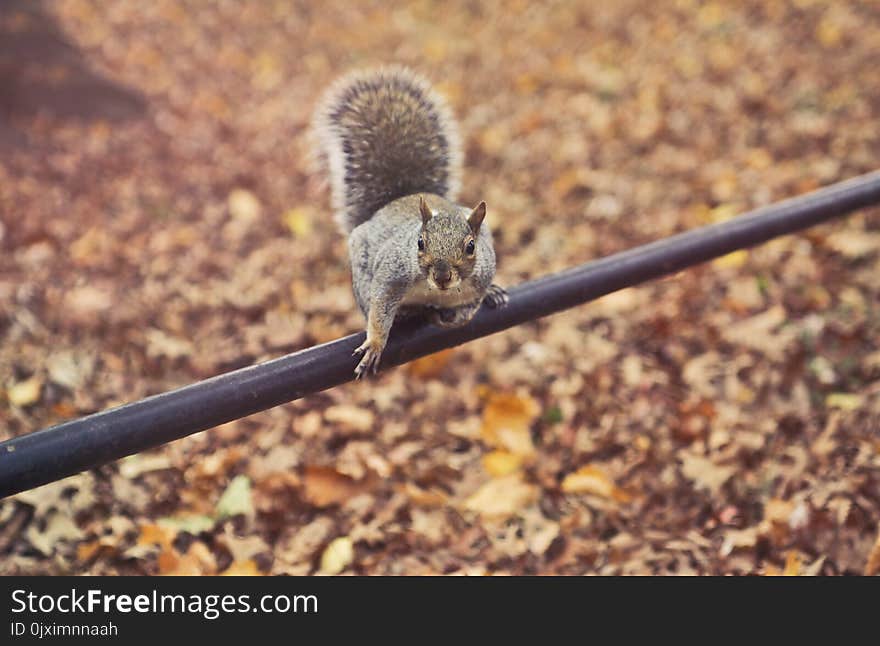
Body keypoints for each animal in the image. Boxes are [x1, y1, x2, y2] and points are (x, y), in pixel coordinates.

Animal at [312, 64, 508, 380]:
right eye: (420, 242)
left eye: (471, 247)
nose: (442, 276)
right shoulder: (392, 274)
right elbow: (380, 308)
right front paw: (375, 344)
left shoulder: (481, 274)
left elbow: (470, 308)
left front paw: (462, 312)